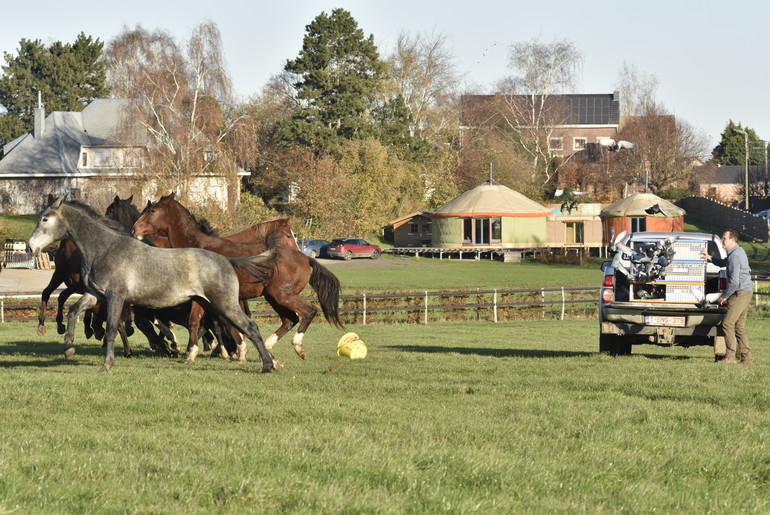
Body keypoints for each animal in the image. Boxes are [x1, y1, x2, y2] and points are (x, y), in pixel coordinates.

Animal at [132, 191, 342, 360]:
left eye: (152, 211)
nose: (135, 229)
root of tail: (304, 257)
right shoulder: (201, 299)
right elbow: (196, 322)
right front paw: (193, 352)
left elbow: (223, 323)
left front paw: (235, 351)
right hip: (273, 297)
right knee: (290, 319)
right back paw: (267, 347)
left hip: (283, 295)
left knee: (309, 311)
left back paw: (296, 347)